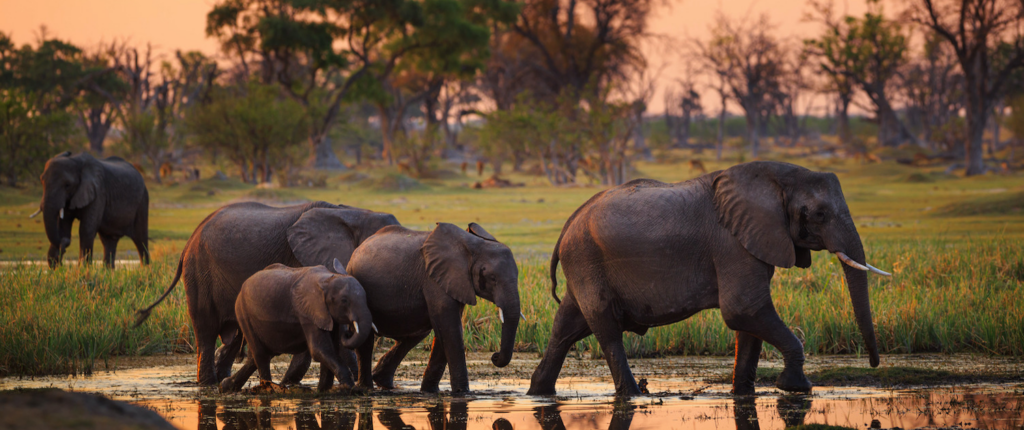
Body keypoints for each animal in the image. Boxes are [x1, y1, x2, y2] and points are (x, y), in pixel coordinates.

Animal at [218, 260, 374, 395]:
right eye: (344, 300)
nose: (348, 331)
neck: (328, 279)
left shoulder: (327, 314)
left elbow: (332, 349)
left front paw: (324, 390)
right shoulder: (307, 312)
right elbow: (320, 349)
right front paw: (349, 387)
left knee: (256, 357)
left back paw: (225, 386)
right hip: (243, 313)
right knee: (261, 355)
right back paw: (268, 389)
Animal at [346, 223, 520, 395]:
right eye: (492, 278)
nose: (494, 356)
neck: (472, 245)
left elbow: (444, 329)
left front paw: (430, 391)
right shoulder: (433, 279)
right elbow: (450, 328)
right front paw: (463, 393)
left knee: (414, 335)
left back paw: (383, 382)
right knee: (366, 339)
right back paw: (366, 389)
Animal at [528, 160, 888, 397]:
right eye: (819, 214)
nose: (873, 363)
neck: (777, 178)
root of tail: (568, 223)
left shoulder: (753, 240)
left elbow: (748, 322)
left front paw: (743, 394)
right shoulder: (732, 243)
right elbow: (743, 309)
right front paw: (796, 388)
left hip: (583, 264)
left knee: (566, 327)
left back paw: (538, 392)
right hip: (586, 260)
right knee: (606, 330)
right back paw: (634, 395)